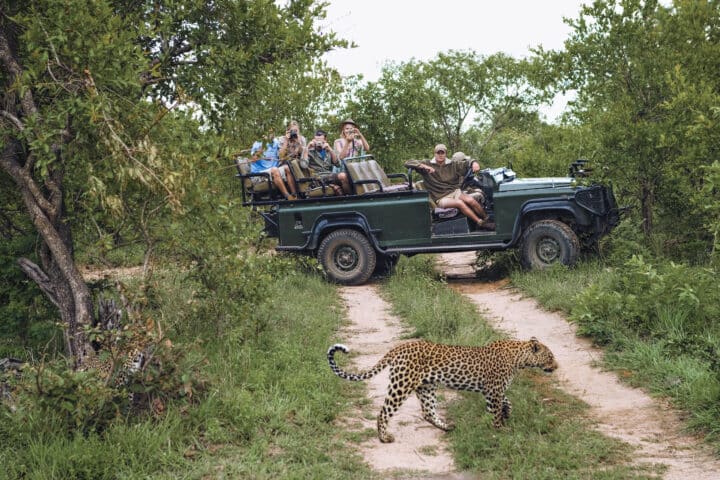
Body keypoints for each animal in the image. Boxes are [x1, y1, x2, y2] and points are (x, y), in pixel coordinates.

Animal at [326, 338, 556, 442]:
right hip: (402, 384)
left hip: (426, 387)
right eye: (550, 356)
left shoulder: (492, 391)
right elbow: (496, 411)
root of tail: (398, 347)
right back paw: (384, 437)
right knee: (383, 412)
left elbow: (506, 402)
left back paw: (447, 427)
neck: (519, 358)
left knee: (428, 412)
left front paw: (507, 414)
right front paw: (499, 430)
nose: (556, 366)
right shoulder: (493, 391)